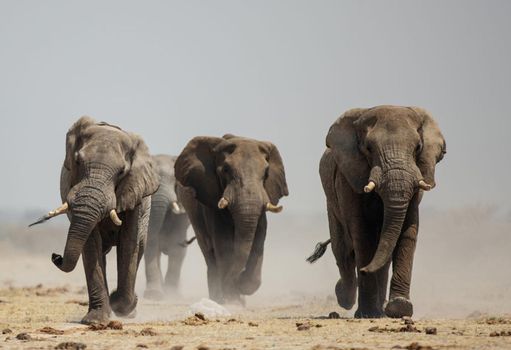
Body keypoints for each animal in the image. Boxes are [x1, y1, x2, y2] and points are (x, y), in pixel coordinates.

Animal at [29, 116, 158, 324]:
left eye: (122, 171)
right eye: (78, 161)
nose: (56, 256)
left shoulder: (134, 193)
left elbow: (128, 244)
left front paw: (118, 303)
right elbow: (91, 243)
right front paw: (95, 321)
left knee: (139, 247)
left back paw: (128, 309)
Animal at [175, 134, 288, 304]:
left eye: (266, 172)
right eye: (226, 170)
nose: (238, 278)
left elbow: (258, 240)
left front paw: (240, 289)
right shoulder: (211, 202)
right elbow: (223, 244)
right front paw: (232, 299)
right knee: (210, 254)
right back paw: (217, 297)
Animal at [312, 105, 444, 318]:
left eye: (418, 148)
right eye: (368, 148)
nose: (365, 270)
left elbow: (408, 231)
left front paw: (400, 308)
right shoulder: (348, 178)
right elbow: (362, 234)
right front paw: (367, 313)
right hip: (331, 204)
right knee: (343, 251)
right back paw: (346, 298)